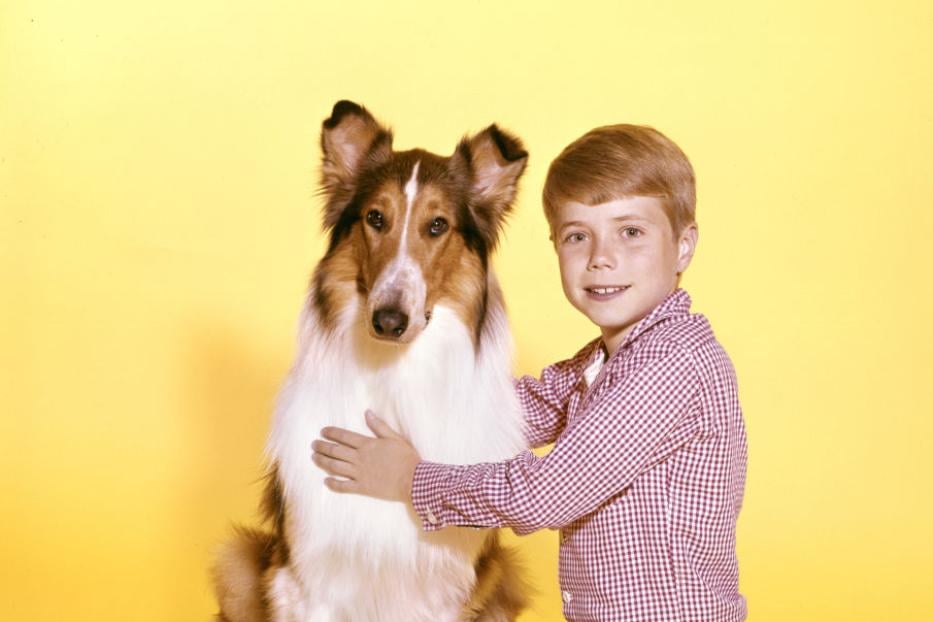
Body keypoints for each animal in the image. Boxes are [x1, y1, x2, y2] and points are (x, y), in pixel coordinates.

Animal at [212, 100, 532, 620]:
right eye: (376, 218)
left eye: (438, 225)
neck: (392, 374)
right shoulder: (308, 580)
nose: (388, 320)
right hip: (237, 561)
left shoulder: (447, 591)